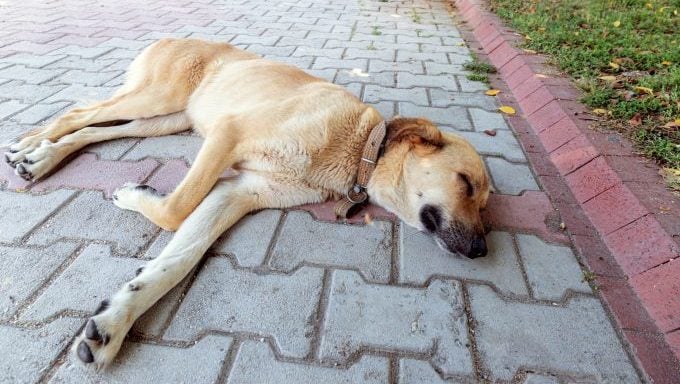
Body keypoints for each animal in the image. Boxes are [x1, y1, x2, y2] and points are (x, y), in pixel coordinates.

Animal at [2, 38, 488, 366]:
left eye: (485, 205)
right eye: (465, 183)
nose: (483, 250)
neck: (359, 149)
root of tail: (173, 36)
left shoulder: (237, 193)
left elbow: (178, 258)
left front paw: (116, 321)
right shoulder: (228, 133)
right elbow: (175, 209)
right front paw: (135, 194)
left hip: (166, 119)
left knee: (91, 129)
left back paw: (41, 158)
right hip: (159, 100)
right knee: (78, 112)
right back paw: (30, 144)